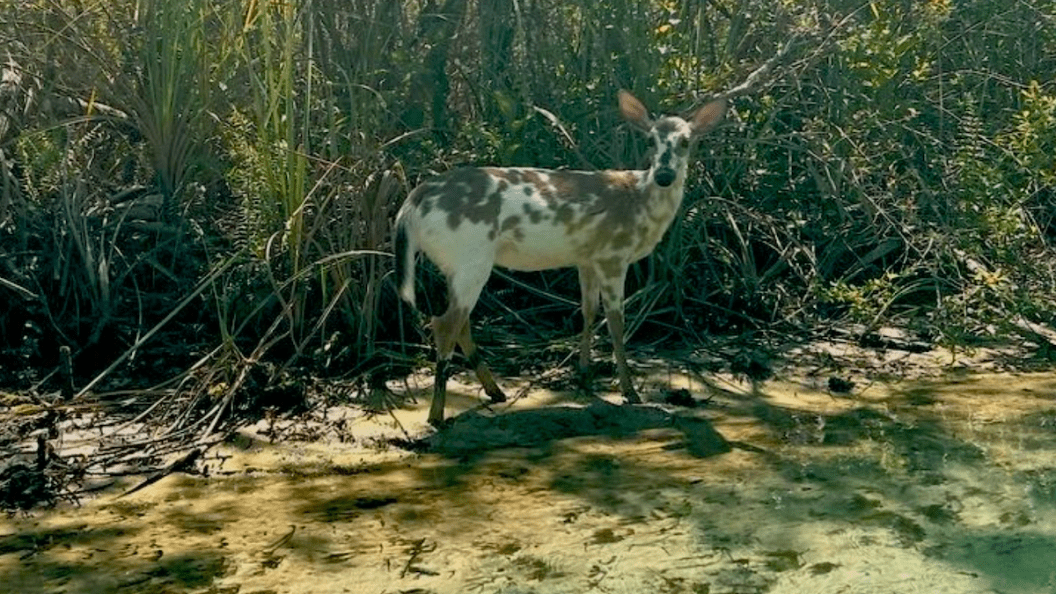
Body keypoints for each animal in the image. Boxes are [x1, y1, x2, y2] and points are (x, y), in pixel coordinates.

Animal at [394, 89, 726, 426]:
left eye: (686, 141)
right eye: (650, 140)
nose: (664, 175)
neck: (639, 203)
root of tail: (411, 204)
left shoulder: (587, 259)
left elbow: (588, 312)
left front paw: (585, 377)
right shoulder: (614, 255)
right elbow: (617, 322)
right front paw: (629, 391)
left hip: (456, 264)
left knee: (459, 323)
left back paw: (494, 391)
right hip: (470, 257)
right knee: (444, 323)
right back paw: (437, 414)